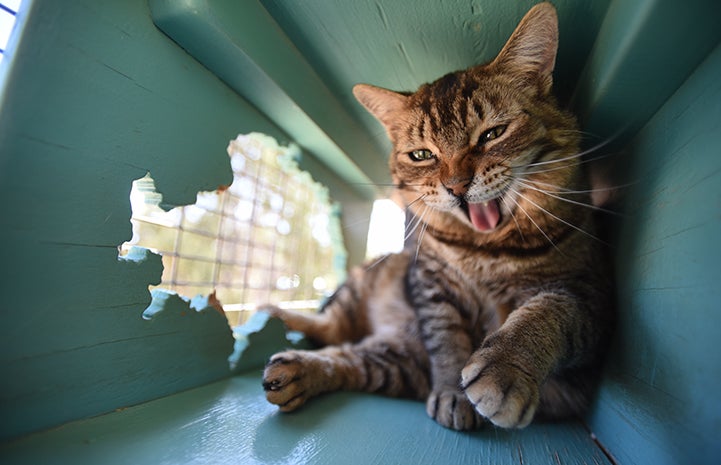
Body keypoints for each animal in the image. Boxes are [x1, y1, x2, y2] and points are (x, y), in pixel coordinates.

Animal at [262, 2, 612, 432]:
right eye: (422, 155)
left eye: (492, 134)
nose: (457, 186)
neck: (485, 248)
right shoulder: (432, 287)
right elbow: (447, 343)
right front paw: (451, 392)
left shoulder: (588, 296)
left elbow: (545, 315)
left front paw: (505, 368)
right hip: (368, 282)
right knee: (332, 327)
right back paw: (280, 321)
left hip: (399, 361)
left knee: (350, 357)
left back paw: (296, 371)